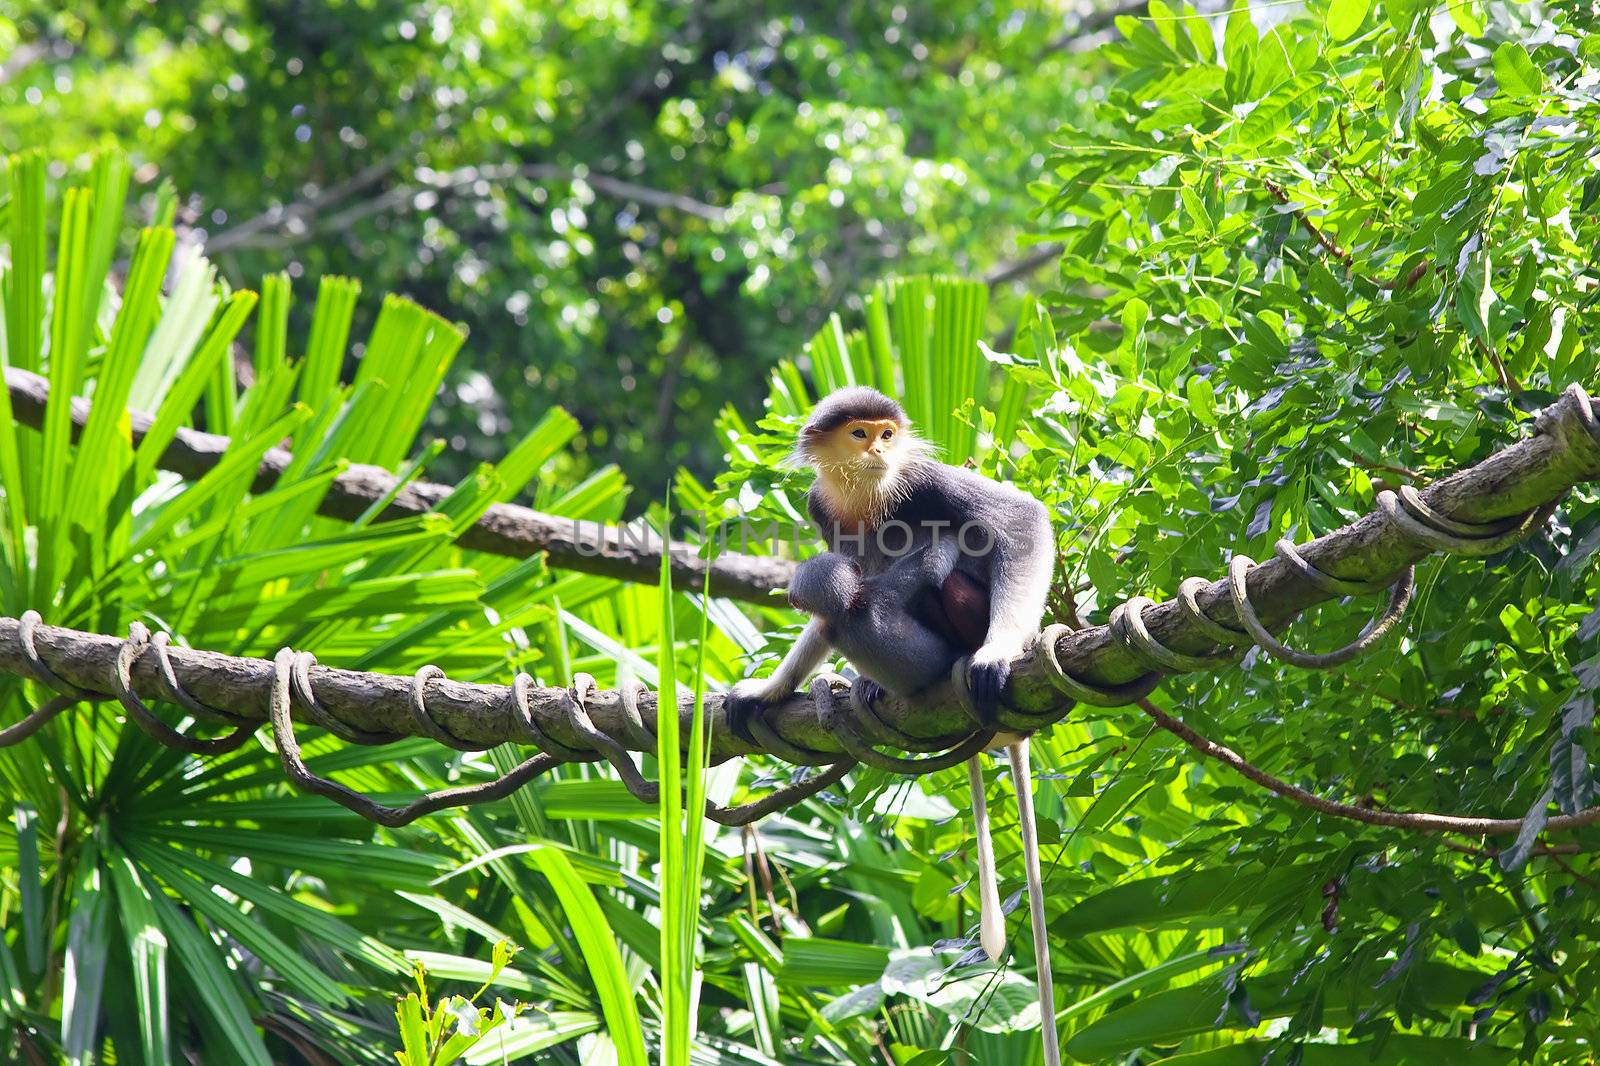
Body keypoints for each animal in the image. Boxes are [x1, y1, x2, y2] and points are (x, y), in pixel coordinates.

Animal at [729, 385, 1062, 1056]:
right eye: (860, 435)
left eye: (888, 435)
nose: (881, 451)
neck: (862, 492)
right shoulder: (820, 505)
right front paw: (772, 688)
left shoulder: (922, 479)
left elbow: (1020, 520)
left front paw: (997, 651)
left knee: (887, 590)